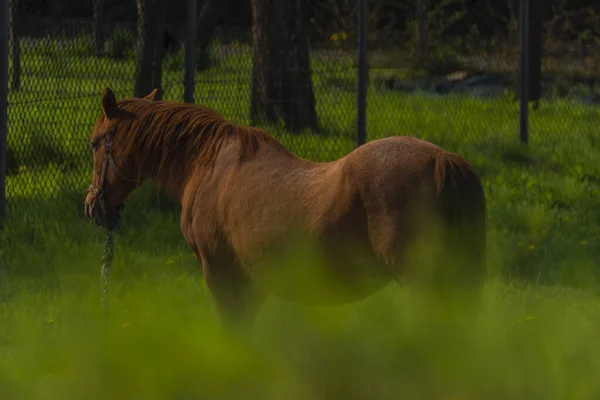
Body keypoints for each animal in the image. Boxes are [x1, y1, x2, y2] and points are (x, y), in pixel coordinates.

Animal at [84, 88, 488, 328]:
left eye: (94, 143)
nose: (92, 206)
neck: (208, 164)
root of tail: (443, 160)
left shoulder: (219, 272)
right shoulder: (252, 280)